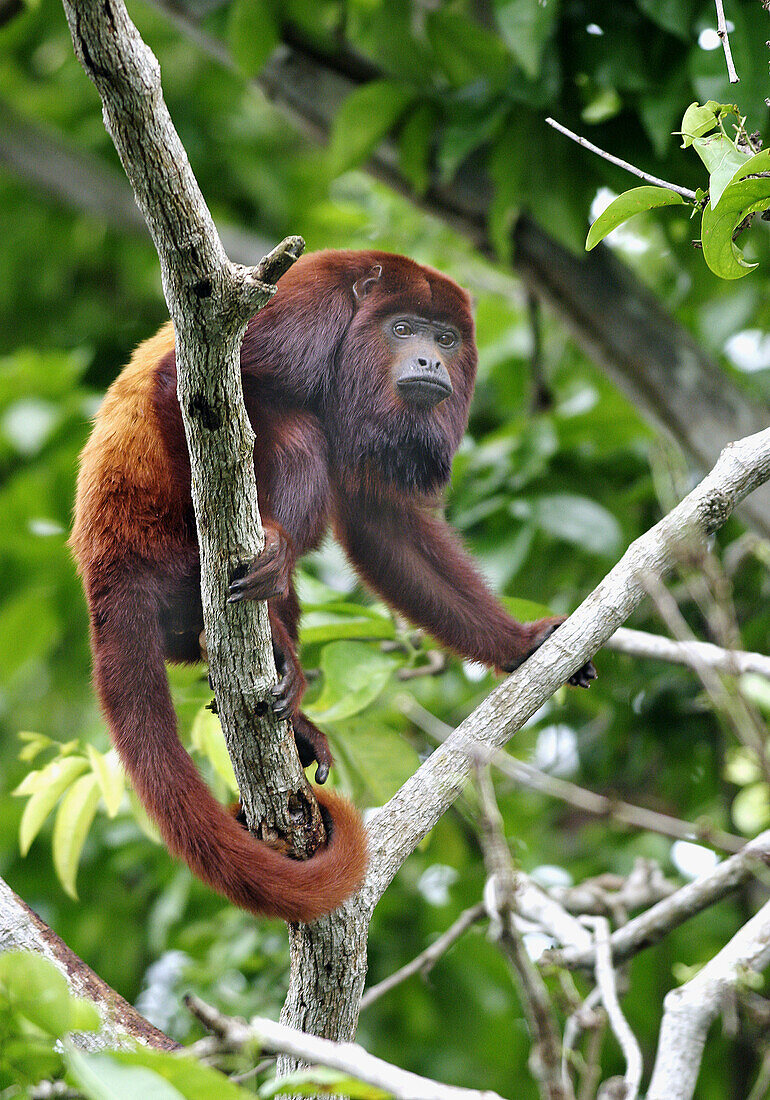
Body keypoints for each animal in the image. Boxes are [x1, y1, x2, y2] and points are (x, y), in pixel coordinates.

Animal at [70, 249, 594, 919]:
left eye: (446, 339)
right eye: (403, 329)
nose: (430, 361)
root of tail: (107, 570)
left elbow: (383, 524)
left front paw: (523, 643)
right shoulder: (308, 304)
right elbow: (173, 385)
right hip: (164, 550)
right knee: (297, 431)